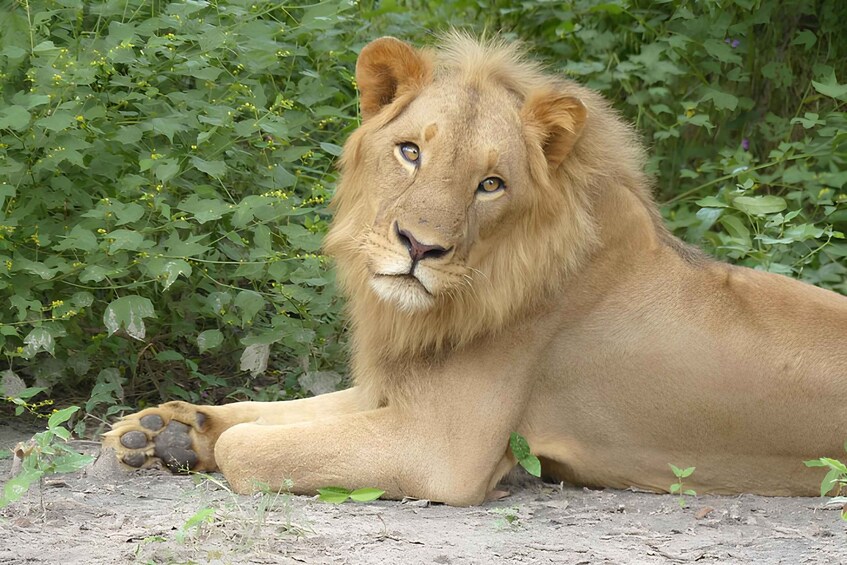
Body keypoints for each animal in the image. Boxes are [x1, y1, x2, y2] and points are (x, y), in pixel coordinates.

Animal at [103, 35, 847, 505]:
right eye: (409, 151)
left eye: (490, 184)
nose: (417, 247)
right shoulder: (391, 389)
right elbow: (267, 413)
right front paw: (162, 430)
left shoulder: (441, 447)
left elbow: (254, 445)